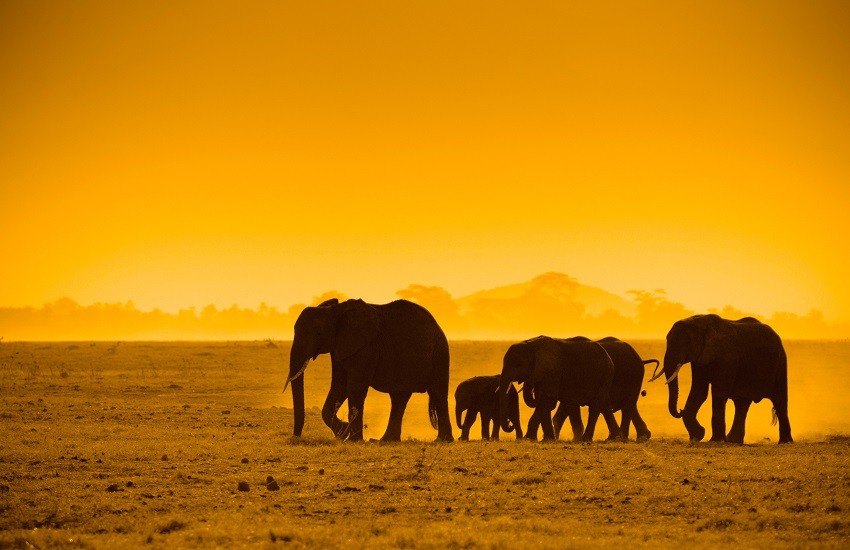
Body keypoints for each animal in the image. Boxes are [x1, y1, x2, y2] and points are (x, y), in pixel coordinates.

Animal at [284, 300, 454, 442]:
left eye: (318, 333)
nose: (296, 438)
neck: (335, 311)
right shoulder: (340, 346)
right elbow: (340, 386)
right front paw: (343, 433)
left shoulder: (365, 347)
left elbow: (355, 388)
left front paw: (352, 439)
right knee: (399, 398)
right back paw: (386, 441)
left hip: (440, 354)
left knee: (437, 393)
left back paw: (442, 441)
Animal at [648, 314, 796, 444]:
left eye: (689, 342)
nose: (680, 410)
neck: (700, 322)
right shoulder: (700, 360)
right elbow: (698, 392)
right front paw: (698, 436)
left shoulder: (727, 359)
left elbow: (719, 394)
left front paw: (715, 440)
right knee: (742, 404)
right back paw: (733, 441)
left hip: (780, 363)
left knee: (780, 401)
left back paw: (785, 442)